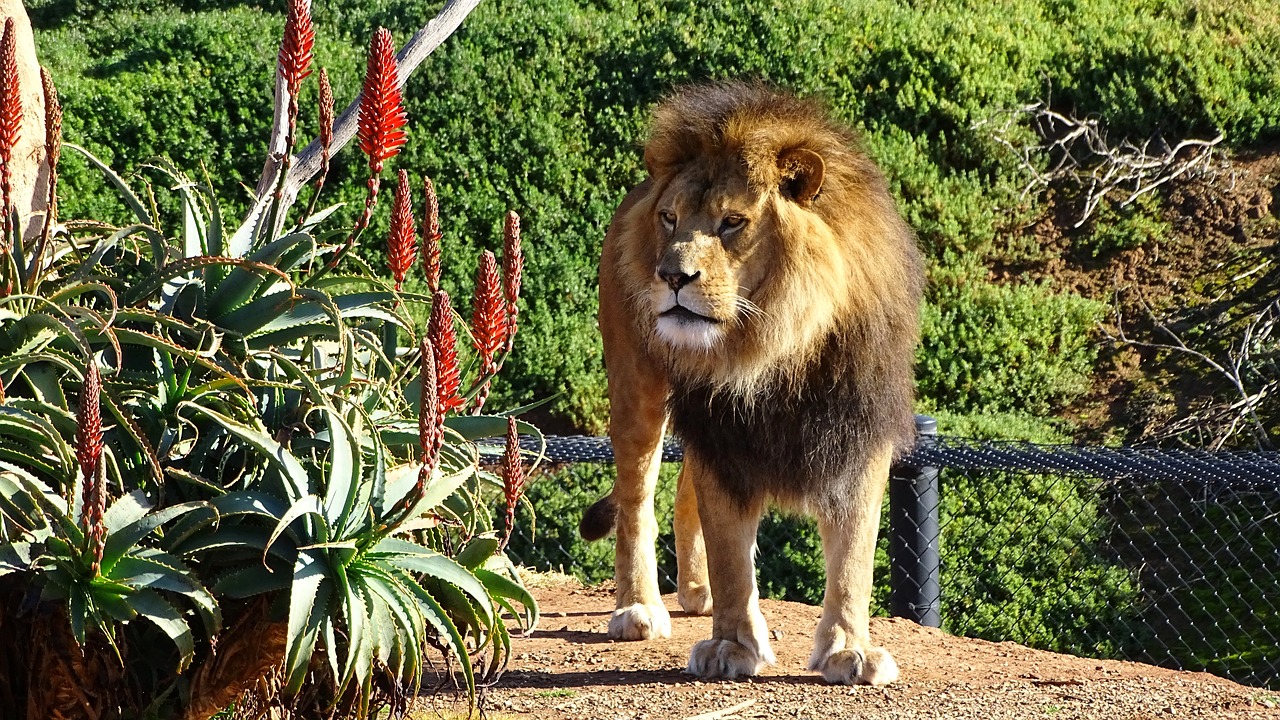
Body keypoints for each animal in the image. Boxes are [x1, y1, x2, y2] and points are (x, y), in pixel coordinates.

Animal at [578, 81, 921, 681]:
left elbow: (854, 555)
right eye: (670, 219)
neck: (775, 346)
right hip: (635, 388)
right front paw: (732, 646)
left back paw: (697, 591)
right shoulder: (722, 435)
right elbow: (732, 555)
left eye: (733, 223)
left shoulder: (858, 432)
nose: (672, 275)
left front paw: (848, 649)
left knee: (681, 490)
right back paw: (638, 607)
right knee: (636, 497)